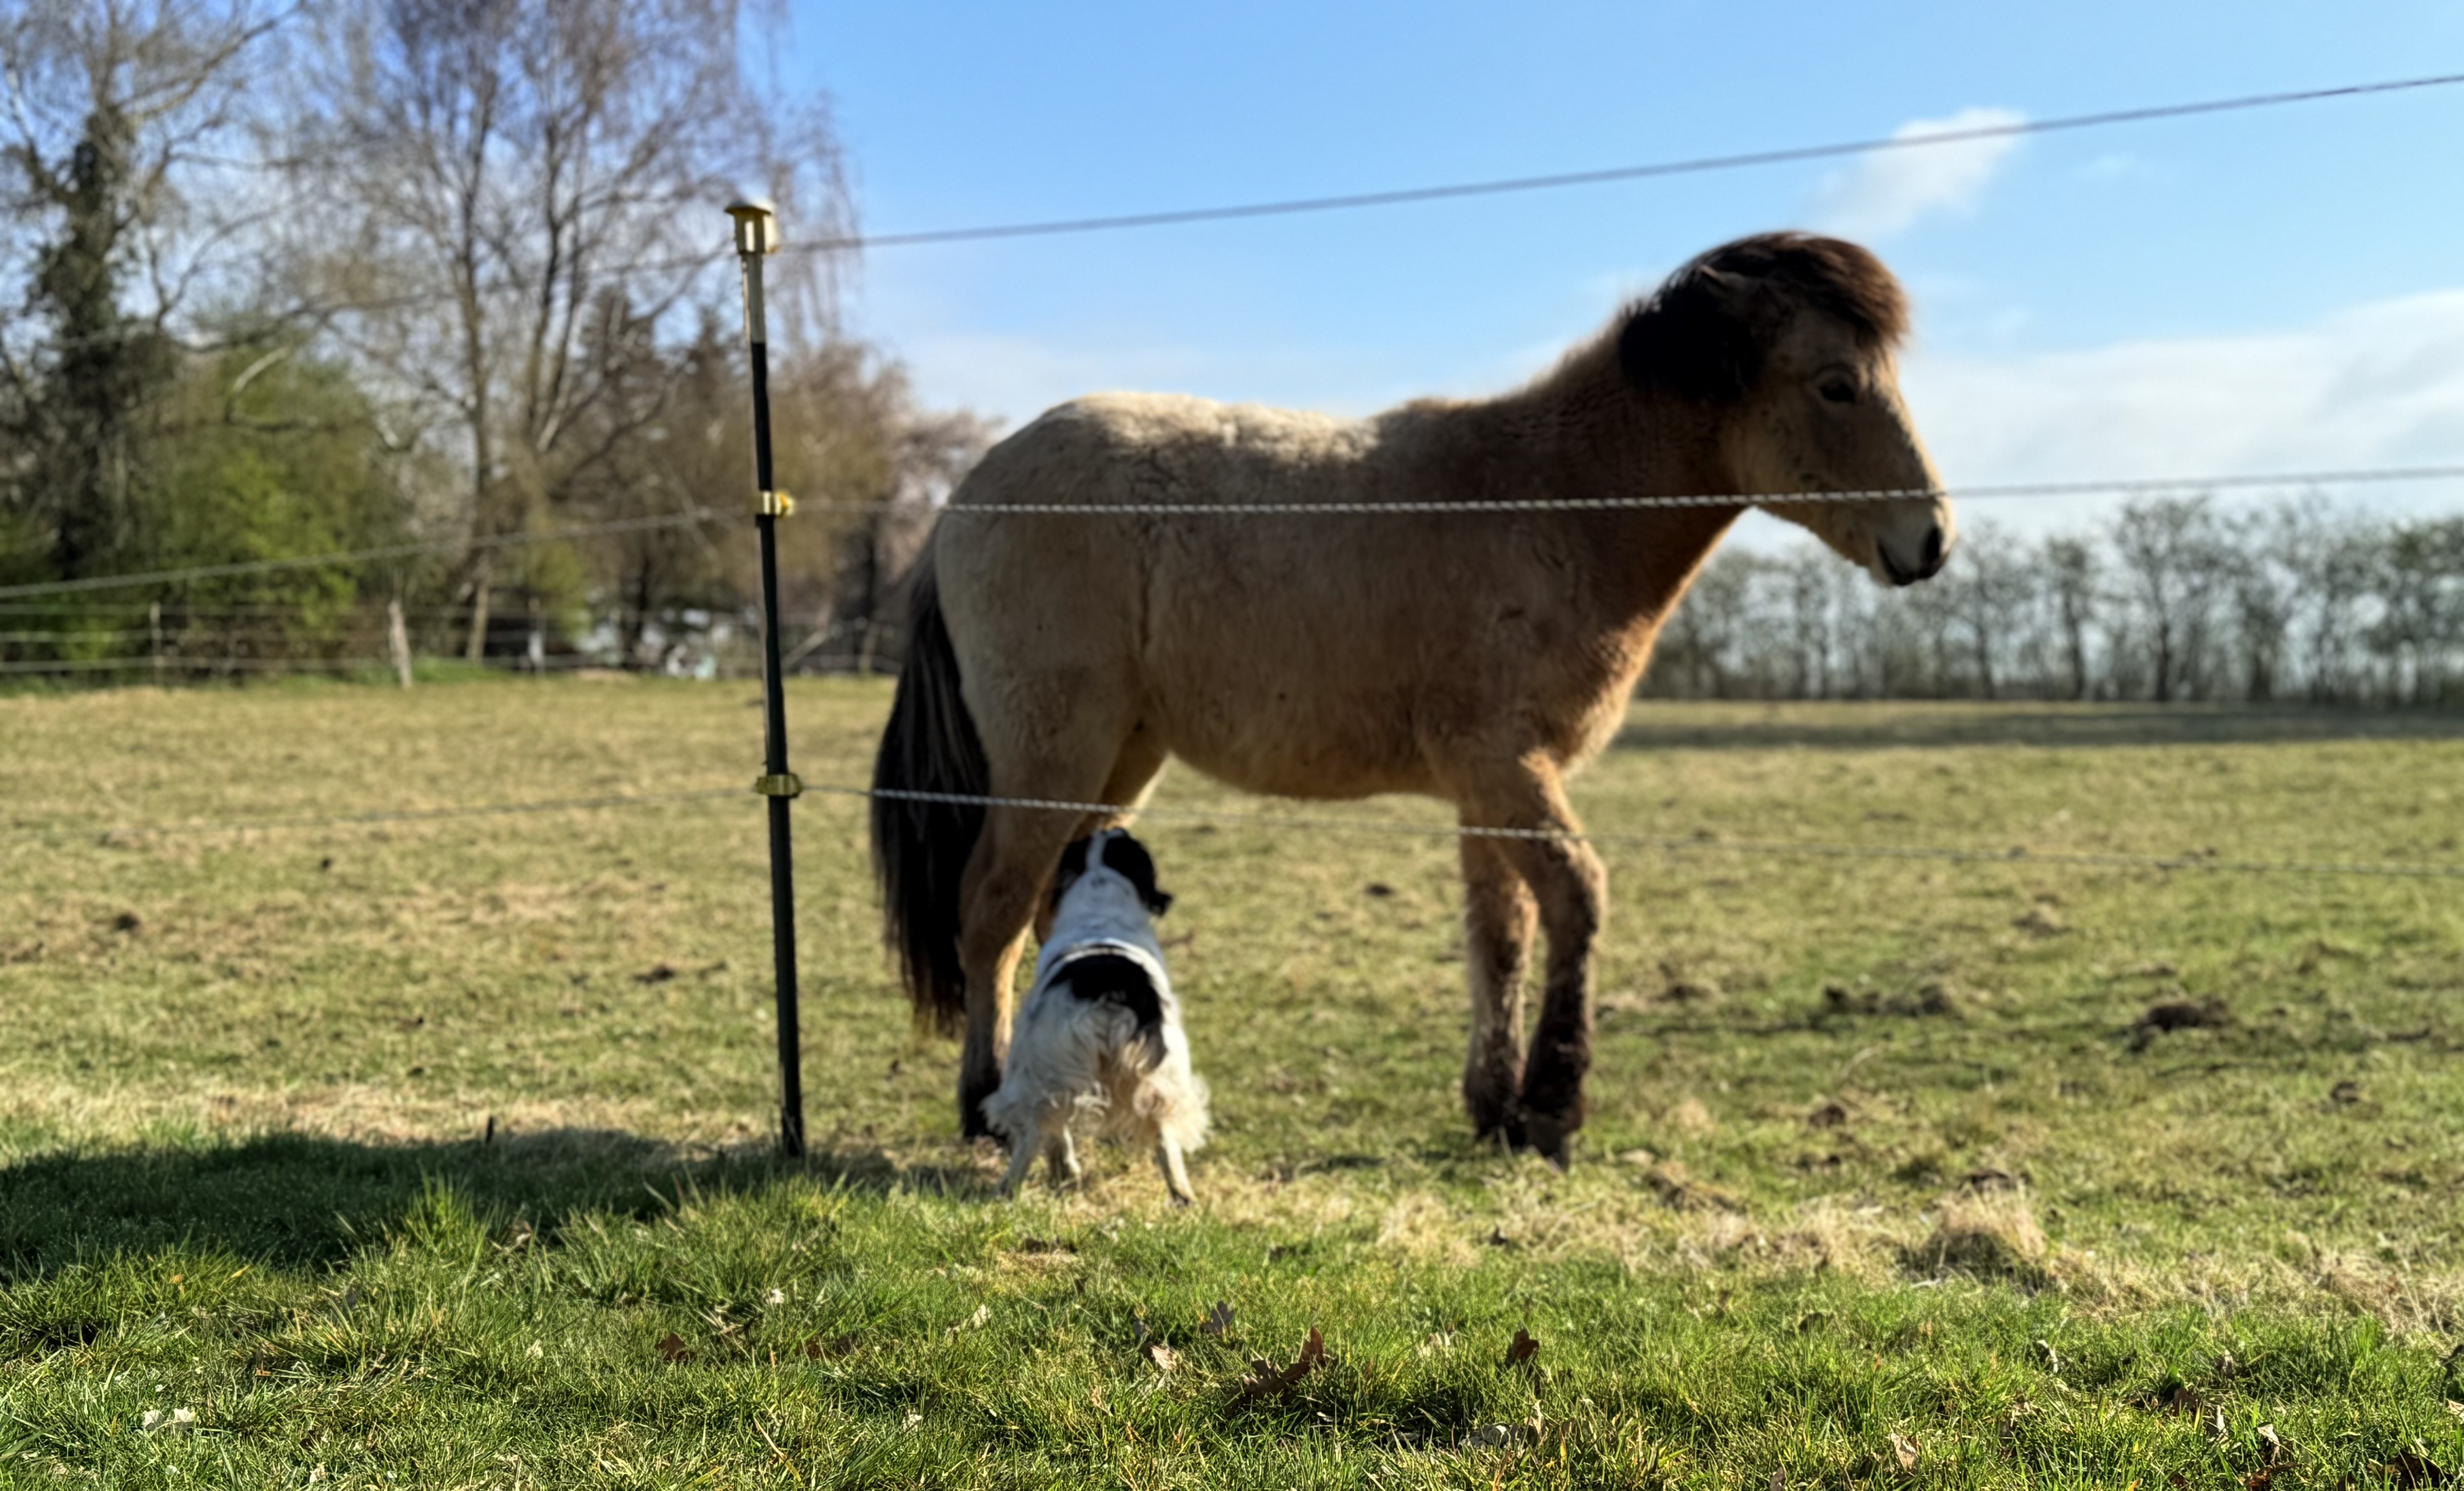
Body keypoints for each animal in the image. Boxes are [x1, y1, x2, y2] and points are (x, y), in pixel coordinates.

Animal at [871, 231, 1954, 1164]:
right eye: (1837, 384)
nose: (1934, 538)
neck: (1548, 503)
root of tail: (967, 495)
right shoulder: (1506, 764)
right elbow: (1577, 894)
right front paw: (1552, 1109)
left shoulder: (1488, 788)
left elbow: (1501, 934)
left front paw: (1494, 1104)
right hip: (1053, 751)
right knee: (992, 908)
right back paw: (983, 1103)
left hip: (1120, 758)